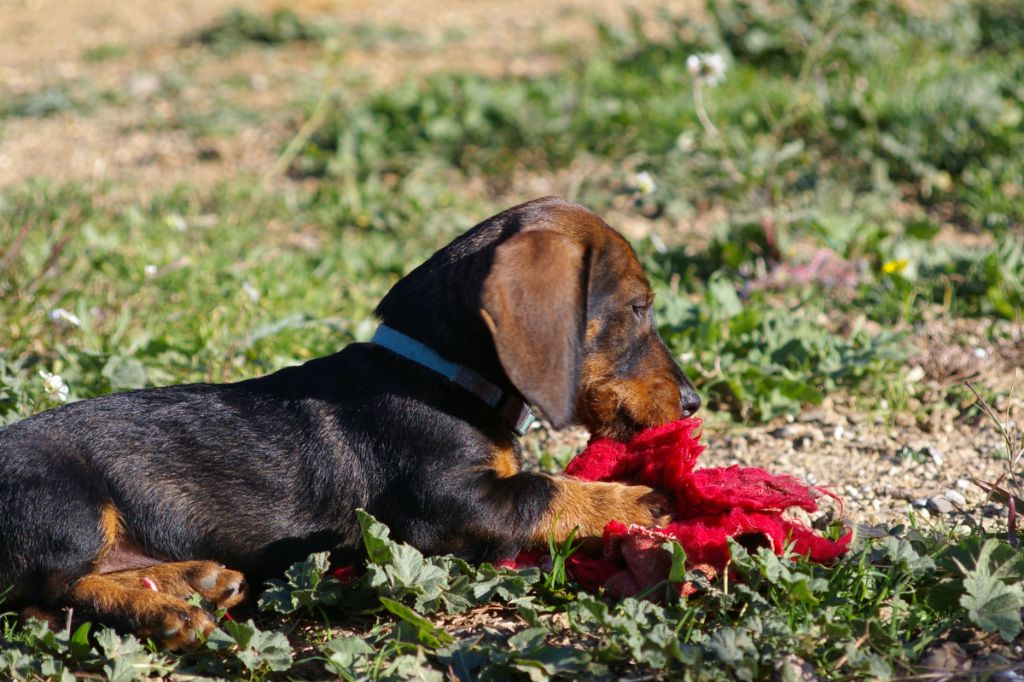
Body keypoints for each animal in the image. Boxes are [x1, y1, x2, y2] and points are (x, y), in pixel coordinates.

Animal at [0, 193, 696, 647]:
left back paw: (195, 579)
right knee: (47, 595)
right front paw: (638, 501)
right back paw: (168, 613)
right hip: (69, 508)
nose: (692, 402)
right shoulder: (448, 505)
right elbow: (545, 490)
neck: (435, 374)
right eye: (638, 308)